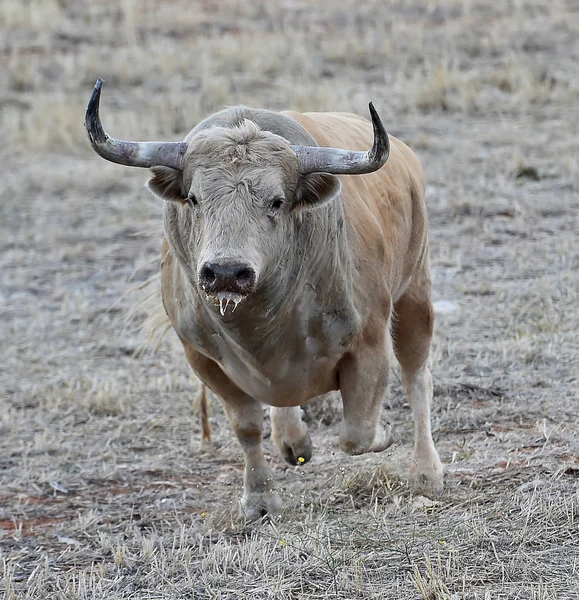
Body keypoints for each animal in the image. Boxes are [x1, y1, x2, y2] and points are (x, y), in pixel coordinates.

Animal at [85, 78, 444, 520]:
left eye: (276, 201)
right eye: (194, 199)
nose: (225, 272)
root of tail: (407, 162)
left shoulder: (369, 346)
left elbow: (359, 433)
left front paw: (385, 436)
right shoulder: (204, 359)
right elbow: (247, 427)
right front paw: (259, 497)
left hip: (415, 292)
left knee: (416, 376)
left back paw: (426, 472)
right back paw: (293, 439)